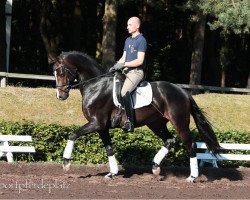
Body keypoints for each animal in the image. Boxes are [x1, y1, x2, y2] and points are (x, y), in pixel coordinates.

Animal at [53, 50, 221, 182]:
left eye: (61, 72)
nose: (60, 96)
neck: (95, 85)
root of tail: (184, 92)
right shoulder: (102, 127)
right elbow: (109, 148)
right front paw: (112, 173)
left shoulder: (96, 123)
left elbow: (73, 134)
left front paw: (66, 163)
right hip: (156, 124)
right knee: (170, 140)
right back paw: (155, 167)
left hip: (179, 122)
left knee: (190, 145)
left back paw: (191, 177)